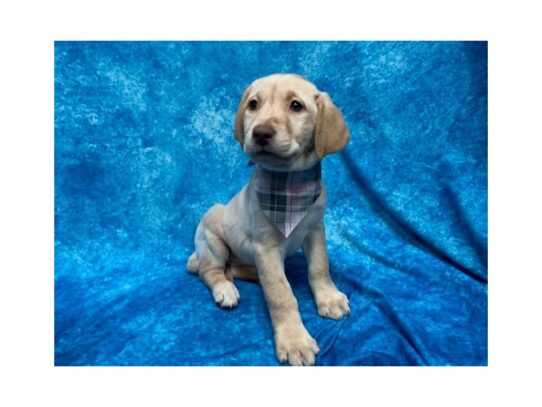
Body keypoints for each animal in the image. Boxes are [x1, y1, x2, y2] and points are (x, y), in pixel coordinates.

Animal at [188, 73, 352, 366]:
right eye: (253, 104)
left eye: (296, 106)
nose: (261, 132)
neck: (289, 184)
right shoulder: (266, 248)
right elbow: (281, 294)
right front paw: (295, 340)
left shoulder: (315, 229)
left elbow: (319, 267)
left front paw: (329, 297)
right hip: (212, 237)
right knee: (211, 271)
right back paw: (225, 289)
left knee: (235, 270)